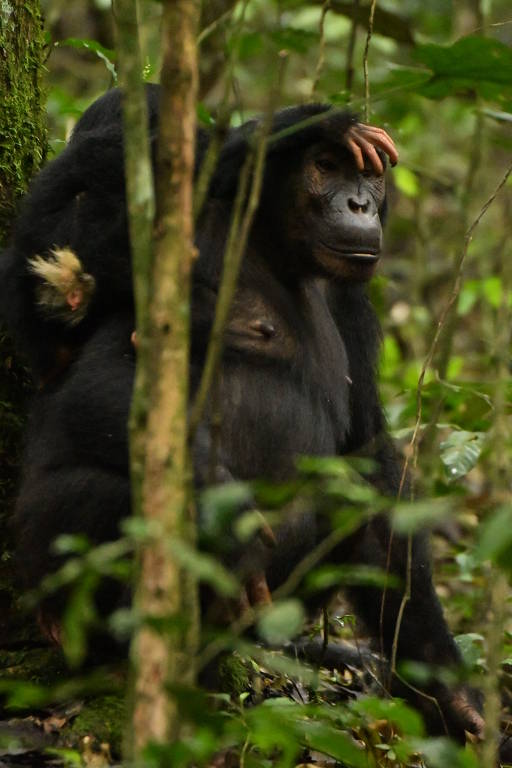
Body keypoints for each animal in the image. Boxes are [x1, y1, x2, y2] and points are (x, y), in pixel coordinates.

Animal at [0, 88, 492, 752]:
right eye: (326, 167)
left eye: (370, 177)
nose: (360, 202)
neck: (272, 245)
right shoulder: (175, 247)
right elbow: (111, 377)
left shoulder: (352, 301)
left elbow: (368, 457)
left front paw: (452, 697)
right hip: (46, 552)